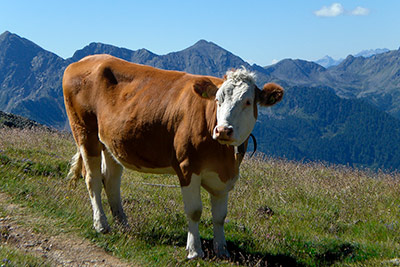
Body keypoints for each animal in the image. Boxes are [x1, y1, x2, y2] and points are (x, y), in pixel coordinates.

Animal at [62, 54, 282, 260]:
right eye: (218, 100)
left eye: (247, 102)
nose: (223, 130)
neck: (225, 157)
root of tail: (83, 61)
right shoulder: (187, 166)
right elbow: (194, 211)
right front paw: (194, 250)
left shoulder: (224, 176)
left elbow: (220, 216)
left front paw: (222, 250)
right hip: (84, 131)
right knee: (93, 179)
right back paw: (101, 225)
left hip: (111, 141)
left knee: (111, 180)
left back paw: (123, 224)